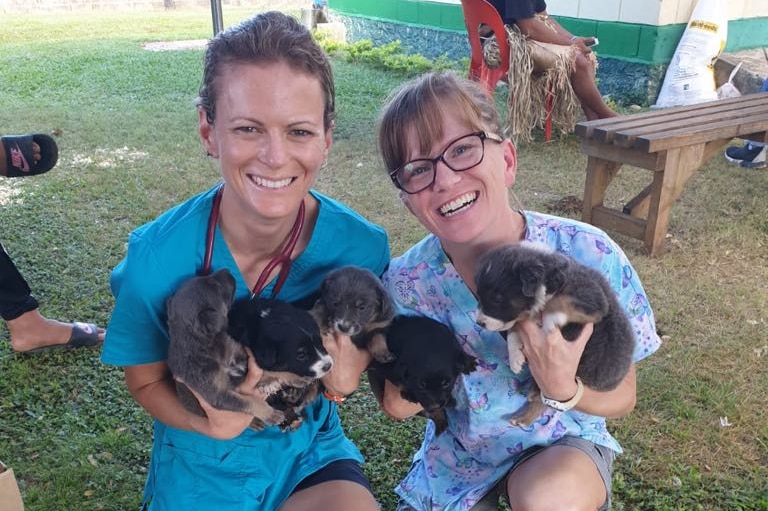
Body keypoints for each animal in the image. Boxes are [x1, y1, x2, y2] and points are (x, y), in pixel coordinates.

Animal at [166, 268, 284, 424]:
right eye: (215, 285)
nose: (226, 269)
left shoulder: (242, 356)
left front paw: (271, 381)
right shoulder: (218, 394)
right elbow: (248, 402)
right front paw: (270, 413)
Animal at [476, 242, 632, 426]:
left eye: (497, 299)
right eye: (480, 296)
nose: (479, 322)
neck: (549, 280)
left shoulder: (593, 300)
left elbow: (562, 301)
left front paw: (551, 318)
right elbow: (514, 331)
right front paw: (515, 358)